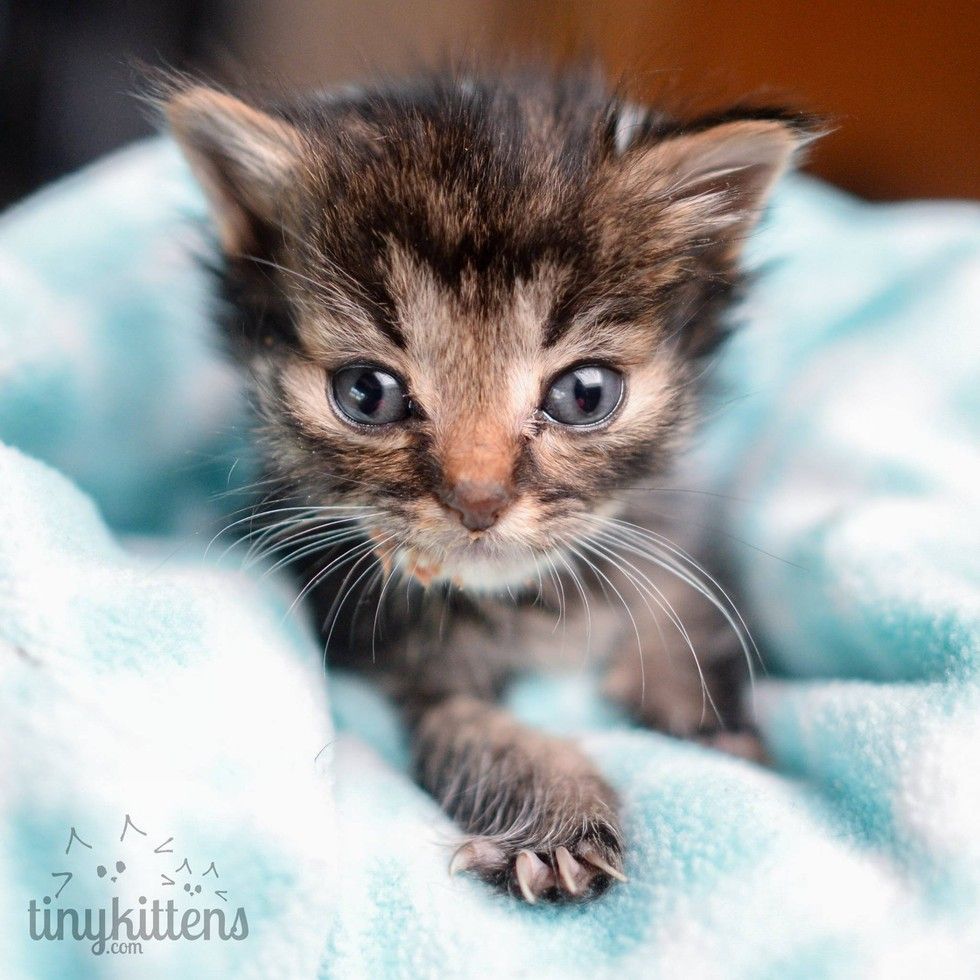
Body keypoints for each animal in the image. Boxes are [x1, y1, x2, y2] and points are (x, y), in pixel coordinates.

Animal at [167, 67, 812, 904]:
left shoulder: (669, 536)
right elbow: (479, 732)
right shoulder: (390, 656)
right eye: (366, 394)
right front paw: (557, 823)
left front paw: (714, 727)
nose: (478, 501)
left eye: (585, 394)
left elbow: (681, 611)